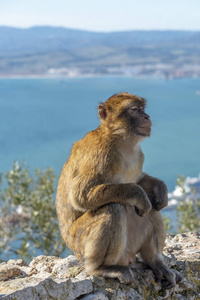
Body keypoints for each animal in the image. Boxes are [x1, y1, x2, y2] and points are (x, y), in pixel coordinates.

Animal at [55, 91, 182, 288]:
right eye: (134, 109)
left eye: (142, 108)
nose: (147, 116)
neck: (120, 141)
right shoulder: (101, 154)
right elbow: (80, 195)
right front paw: (138, 195)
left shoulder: (139, 156)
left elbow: (140, 181)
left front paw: (160, 188)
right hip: (81, 243)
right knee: (113, 207)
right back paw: (101, 268)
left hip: (130, 248)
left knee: (153, 209)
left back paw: (155, 261)